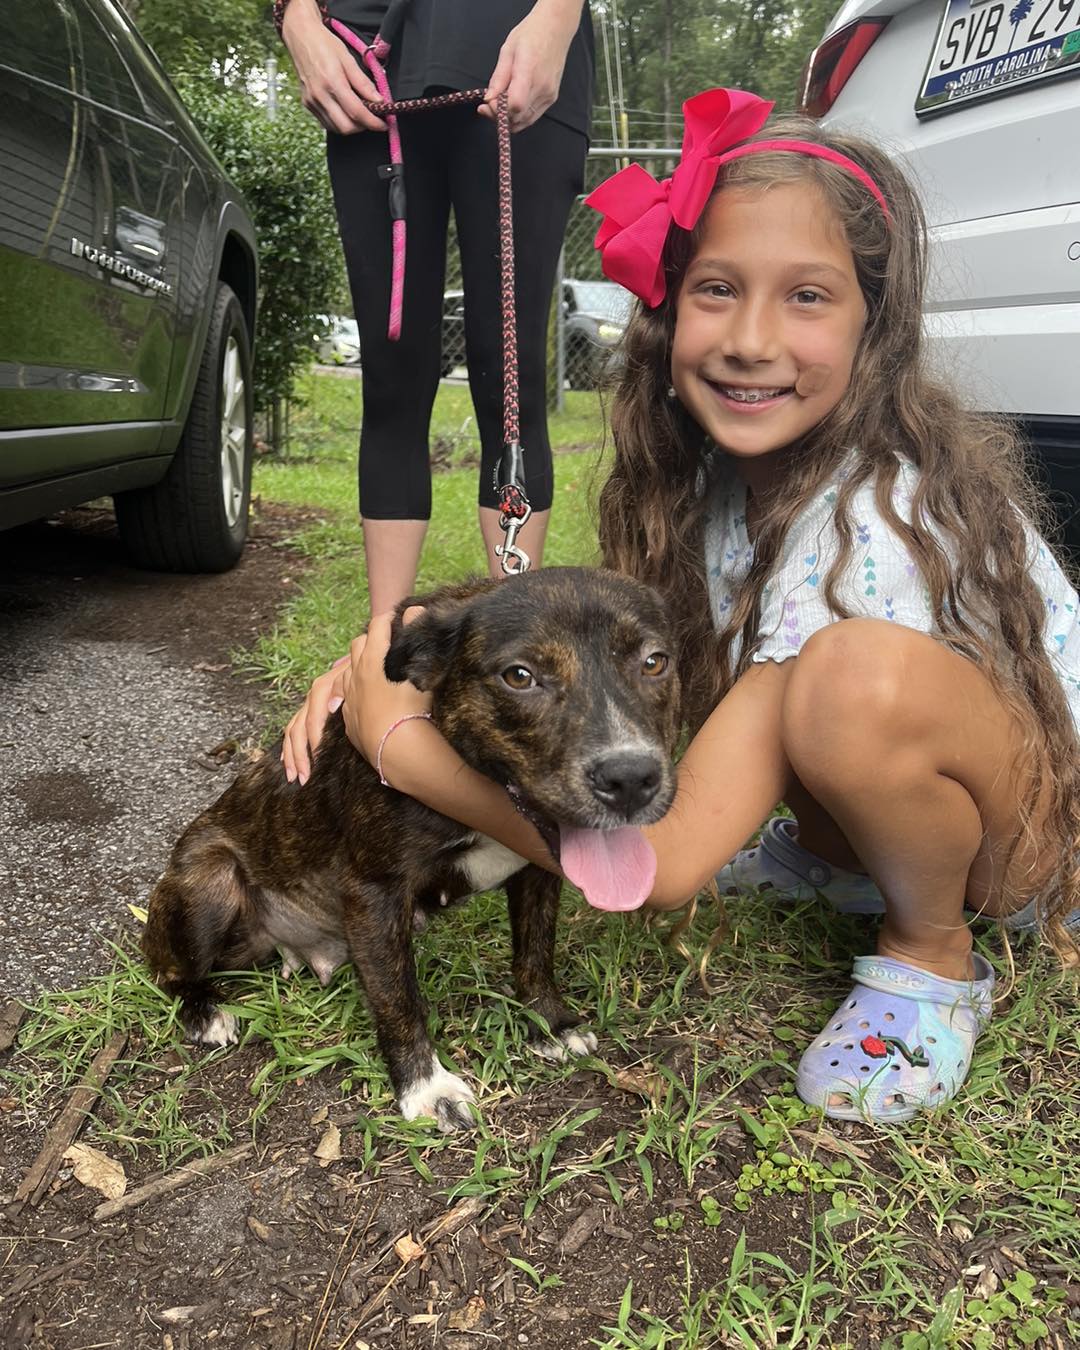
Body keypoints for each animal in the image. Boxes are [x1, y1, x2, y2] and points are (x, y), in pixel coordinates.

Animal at [143, 567, 680, 1128]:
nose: (630, 778)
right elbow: (399, 1000)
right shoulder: (374, 893)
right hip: (211, 883)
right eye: (519, 676)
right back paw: (205, 1013)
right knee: (167, 970)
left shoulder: (538, 874)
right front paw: (426, 1086)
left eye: (655, 662)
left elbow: (536, 952)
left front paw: (549, 1023)